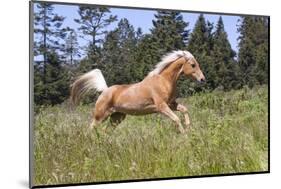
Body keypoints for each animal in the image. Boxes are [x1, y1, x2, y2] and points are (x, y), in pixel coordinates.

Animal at [70, 50, 205, 133]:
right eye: (193, 65)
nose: (202, 79)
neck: (163, 81)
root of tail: (105, 90)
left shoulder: (171, 104)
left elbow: (184, 110)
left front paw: (188, 128)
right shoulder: (161, 106)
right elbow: (176, 119)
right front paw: (184, 135)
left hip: (117, 117)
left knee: (105, 131)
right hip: (100, 116)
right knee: (91, 128)